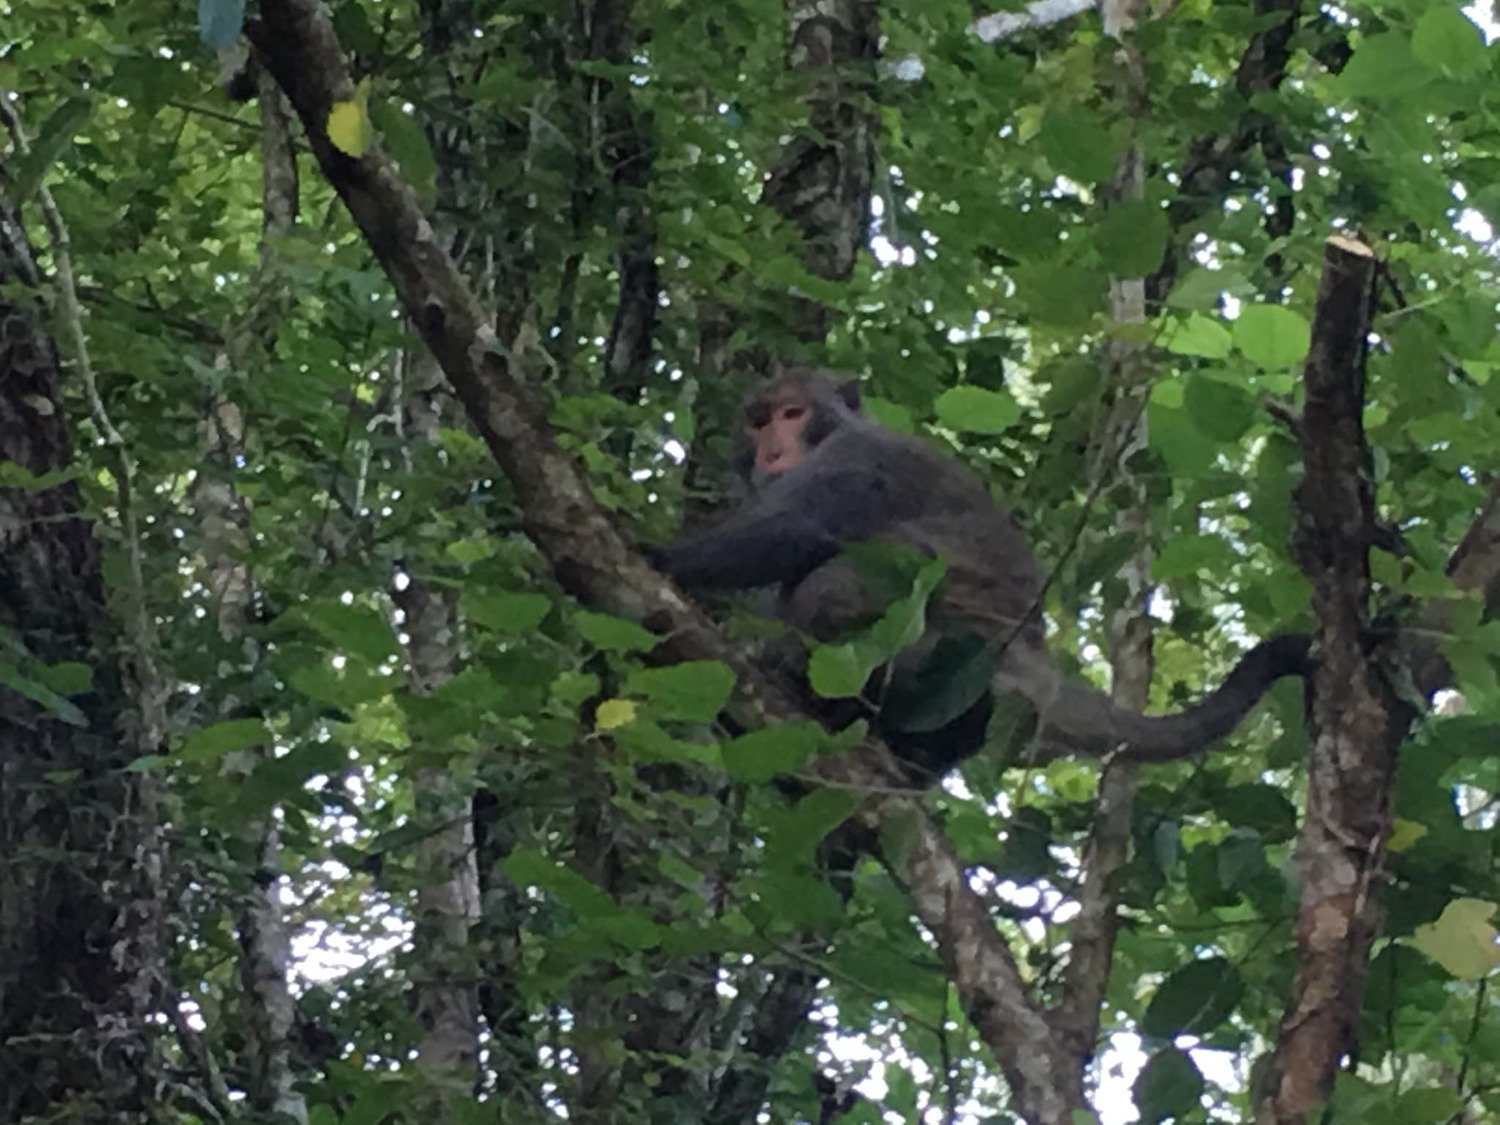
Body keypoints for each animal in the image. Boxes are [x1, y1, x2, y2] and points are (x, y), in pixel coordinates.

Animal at [651, 366, 1308, 780]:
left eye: (793, 413)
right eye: (760, 420)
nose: (772, 448)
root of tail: (1036, 668)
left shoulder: (865, 458)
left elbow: (801, 533)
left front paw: (658, 555)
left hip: (953, 654)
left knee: (849, 579)